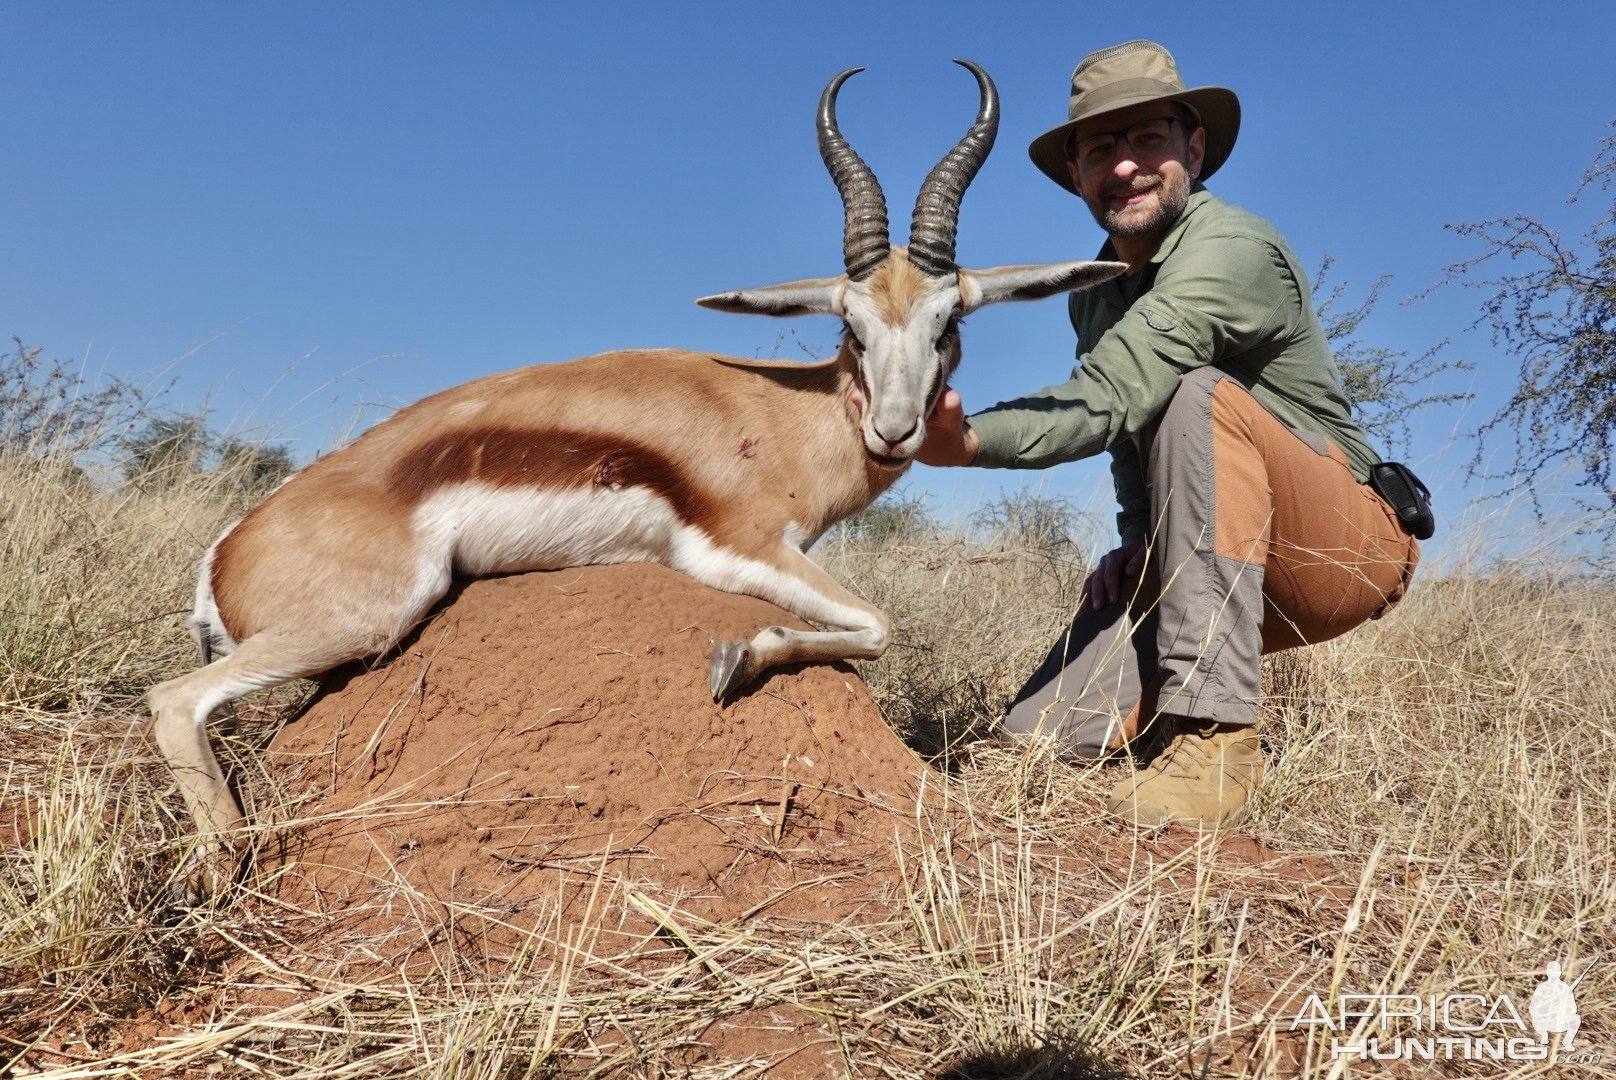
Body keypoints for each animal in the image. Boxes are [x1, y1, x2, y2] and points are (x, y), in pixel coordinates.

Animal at [148, 63, 1124, 898]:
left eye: (949, 322)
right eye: (849, 325)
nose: (893, 431)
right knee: (171, 700)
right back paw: (219, 870)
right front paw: (738, 658)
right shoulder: (733, 547)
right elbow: (880, 627)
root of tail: (225, 552)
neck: (789, 415)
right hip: (371, 616)